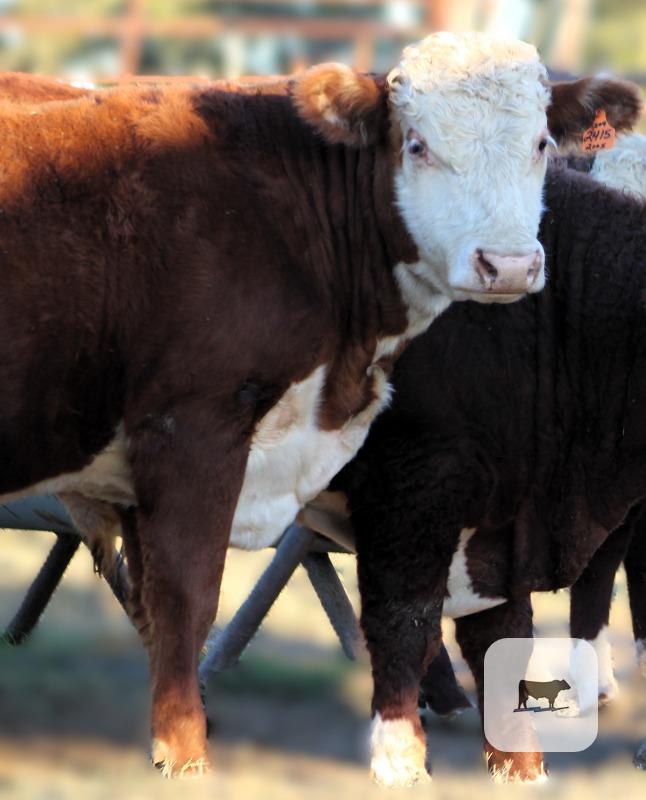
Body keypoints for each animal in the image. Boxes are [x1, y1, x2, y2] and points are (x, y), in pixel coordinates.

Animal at [0, 31, 577, 776]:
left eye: (541, 142)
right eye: (416, 144)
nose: (506, 265)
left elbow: (153, 608)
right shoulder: (192, 424)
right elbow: (187, 596)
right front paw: (187, 757)